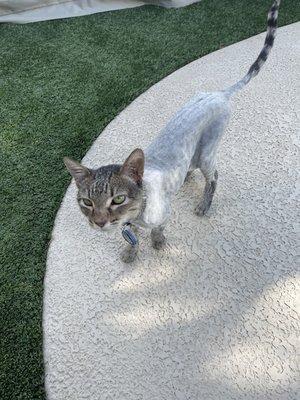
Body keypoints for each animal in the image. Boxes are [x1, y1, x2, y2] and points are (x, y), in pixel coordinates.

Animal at [63, 0, 282, 262]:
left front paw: (157, 242)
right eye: (87, 202)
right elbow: (131, 237)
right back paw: (185, 175)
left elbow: (157, 230)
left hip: (207, 153)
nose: (98, 222)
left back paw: (204, 204)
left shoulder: (163, 215)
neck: (136, 214)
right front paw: (130, 249)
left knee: (214, 176)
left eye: (118, 199)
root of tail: (218, 93)